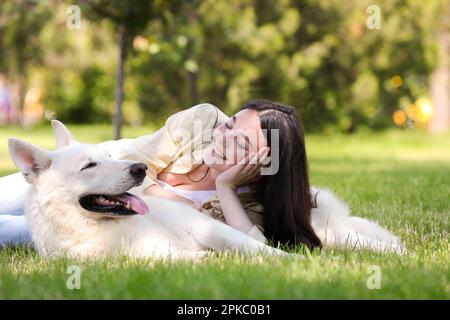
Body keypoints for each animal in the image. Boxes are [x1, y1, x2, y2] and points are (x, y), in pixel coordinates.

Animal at [6, 121, 400, 258]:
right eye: (89, 166)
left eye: (109, 157)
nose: (139, 169)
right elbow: (193, 259)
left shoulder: (213, 231)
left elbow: (264, 251)